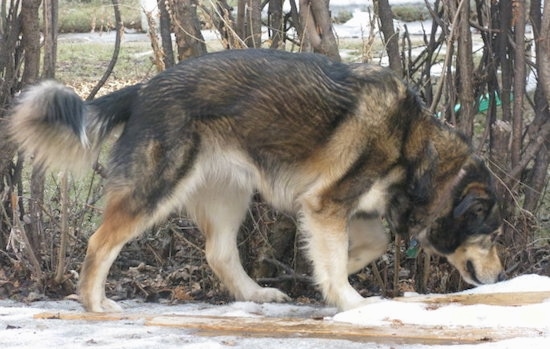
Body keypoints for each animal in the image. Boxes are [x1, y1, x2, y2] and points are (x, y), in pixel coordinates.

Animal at [9, 48, 504, 310]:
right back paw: (94, 302)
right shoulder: (326, 205)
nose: (501, 277)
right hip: (156, 190)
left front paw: (329, 277)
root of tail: (144, 89)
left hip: (231, 193)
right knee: (100, 243)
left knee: (219, 253)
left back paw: (255, 293)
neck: (414, 144)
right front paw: (350, 301)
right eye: (490, 234)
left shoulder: (344, 207)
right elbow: (339, 257)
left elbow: (368, 244)